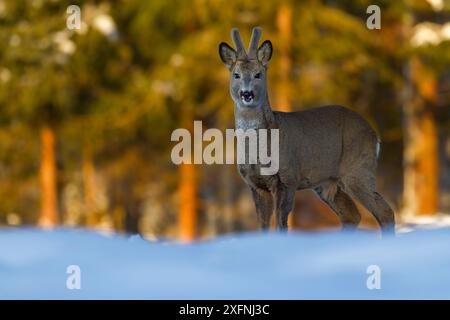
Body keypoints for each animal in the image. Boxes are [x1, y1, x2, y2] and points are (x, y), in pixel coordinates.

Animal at [220, 26, 396, 235]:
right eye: (236, 74)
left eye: (258, 74)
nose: (247, 94)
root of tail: (374, 134)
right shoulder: (255, 184)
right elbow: (263, 226)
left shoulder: (288, 177)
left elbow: (281, 224)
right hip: (327, 182)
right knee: (352, 214)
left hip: (358, 168)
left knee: (384, 211)